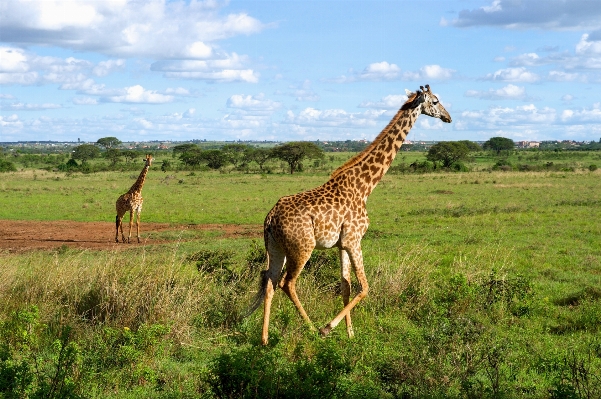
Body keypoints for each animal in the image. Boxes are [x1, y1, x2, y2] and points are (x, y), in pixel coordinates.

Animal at [245, 83, 450, 344]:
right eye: (435, 101)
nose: (448, 117)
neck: (365, 187)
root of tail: (270, 218)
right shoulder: (354, 239)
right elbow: (365, 287)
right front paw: (329, 328)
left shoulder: (342, 244)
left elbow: (346, 285)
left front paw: (350, 334)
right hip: (302, 247)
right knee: (287, 283)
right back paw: (311, 329)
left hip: (275, 247)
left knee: (269, 281)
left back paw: (264, 339)